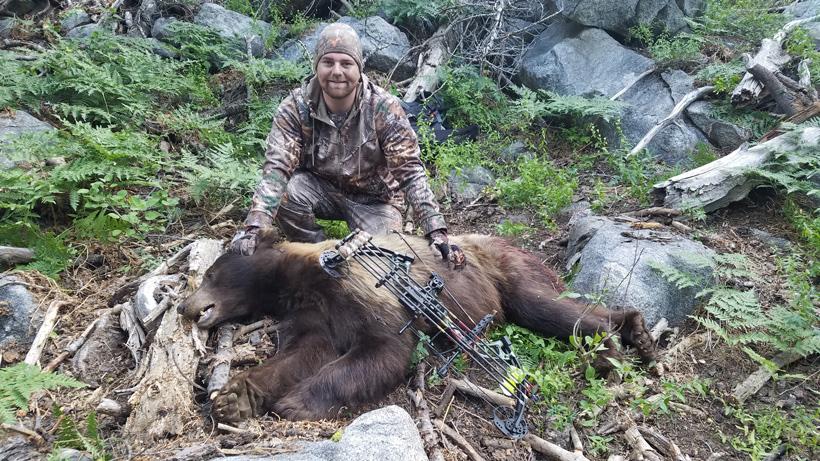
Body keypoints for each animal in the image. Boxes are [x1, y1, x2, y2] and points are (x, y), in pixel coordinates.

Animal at [178, 230, 656, 423]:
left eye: (211, 273)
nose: (185, 307)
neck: (298, 282)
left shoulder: (362, 292)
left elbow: (382, 349)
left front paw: (296, 403)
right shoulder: (314, 315)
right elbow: (299, 354)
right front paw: (234, 398)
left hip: (505, 272)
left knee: (548, 308)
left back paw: (615, 346)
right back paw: (633, 332)